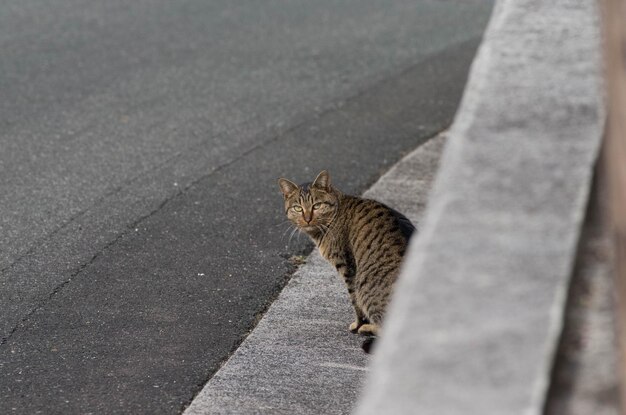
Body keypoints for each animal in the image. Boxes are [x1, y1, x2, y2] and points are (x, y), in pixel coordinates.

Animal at [276, 170, 412, 338]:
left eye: (317, 206)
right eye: (298, 208)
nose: (307, 219)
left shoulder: (346, 267)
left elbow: (355, 303)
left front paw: (358, 324)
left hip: (364, 286)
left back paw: (367, 328)